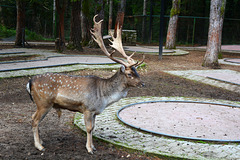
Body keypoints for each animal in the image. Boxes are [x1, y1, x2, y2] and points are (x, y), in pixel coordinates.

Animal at [27, 15, 145, 154]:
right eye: (130, 74)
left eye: (136, 71)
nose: (143, 83)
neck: (104, 97)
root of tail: (30, 82)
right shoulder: (88, 108)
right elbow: (89, 128)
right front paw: (89, 149)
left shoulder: (94, 112)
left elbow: (93, 128)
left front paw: (93, 146)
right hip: (44, 102)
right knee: (34, 120)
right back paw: (39, 146)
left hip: (42, 104)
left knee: (33, 117)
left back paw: (41, 142)